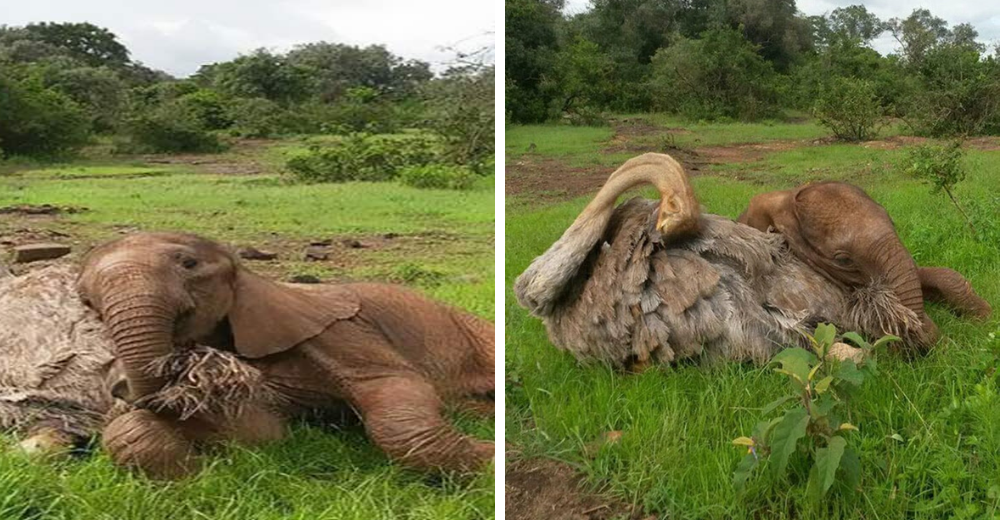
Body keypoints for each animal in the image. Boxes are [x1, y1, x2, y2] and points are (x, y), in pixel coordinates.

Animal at [78, 234, 496, 478]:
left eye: (189, 264)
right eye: (86, 300)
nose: (120, 387)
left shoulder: (337, 333)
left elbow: (395, 387)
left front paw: (493, 457)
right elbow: (263, 432)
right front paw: (196, 470)